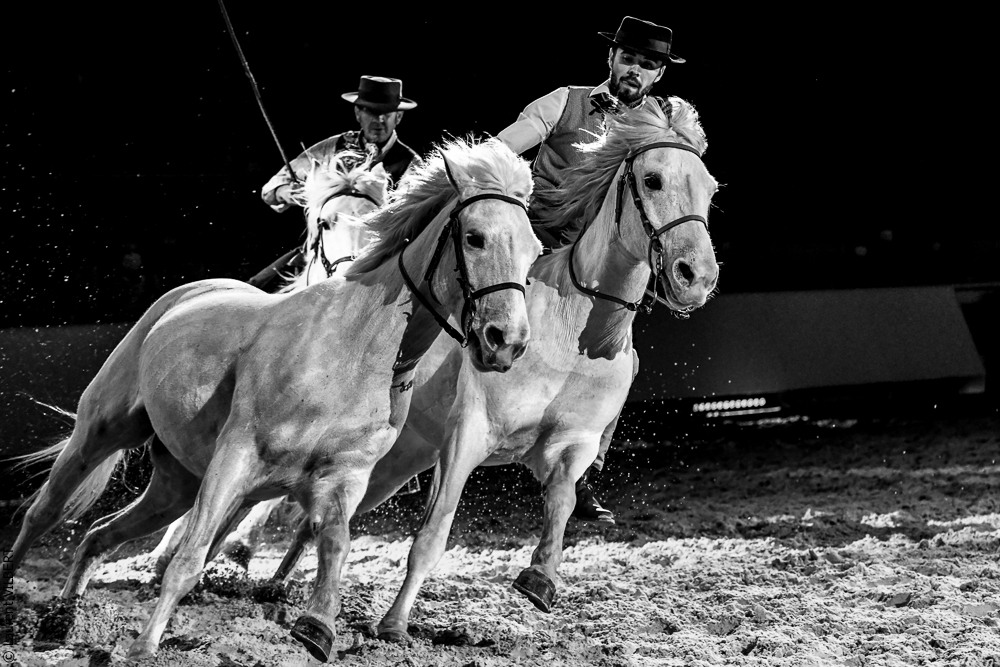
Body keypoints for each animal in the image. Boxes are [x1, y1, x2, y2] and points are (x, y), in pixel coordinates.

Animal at [2, 136, 543, 662]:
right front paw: (144, 645)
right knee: (40, 515)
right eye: (474, 237)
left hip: (175, 483)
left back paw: (60, 620)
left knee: (99, 534)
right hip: (100, 433)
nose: (507, 342)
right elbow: (190, 558)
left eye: (534, 250)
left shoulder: (342, 478)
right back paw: (10, 600)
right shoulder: (235, 457)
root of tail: (183, 295)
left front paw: (317, 627)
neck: (353, 350)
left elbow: (335, 544)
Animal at [267, 98, 719, 642]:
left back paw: (279, 587)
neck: (574, 332)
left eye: (710, 188)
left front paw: (539, 579)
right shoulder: (468, 436)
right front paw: (394, 624)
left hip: (397, 462)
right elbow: (432, 535)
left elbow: (561, 505)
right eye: (652, 180)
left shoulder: (575, 444)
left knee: (314, 516)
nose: (697, 277)